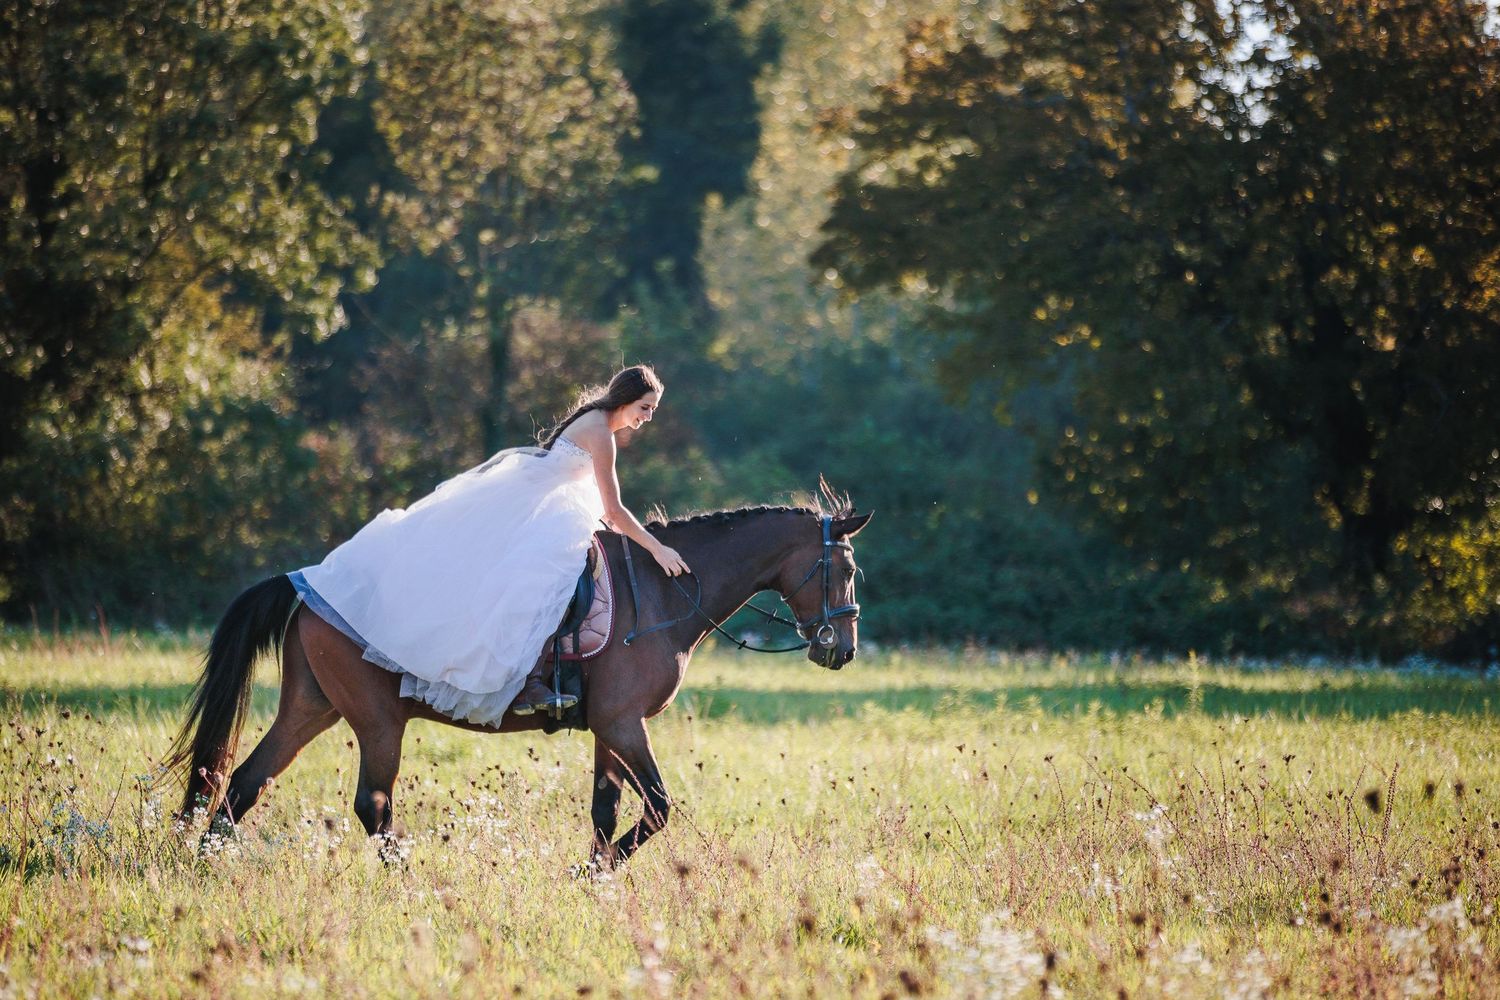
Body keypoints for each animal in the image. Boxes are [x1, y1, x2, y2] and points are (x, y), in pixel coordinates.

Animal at [165, 499, 871, 869]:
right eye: (845, 570)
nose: (842, 650)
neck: (665, 590)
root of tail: (310, 583)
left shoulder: (610, 727)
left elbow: (606, 809)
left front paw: (591, 875)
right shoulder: (625, 724)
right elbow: (660, 807)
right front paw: (595, 870)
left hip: (313, 707)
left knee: (245, 781)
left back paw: (199, 866)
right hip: (377, 720)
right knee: (372, 806)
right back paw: (413, 882)